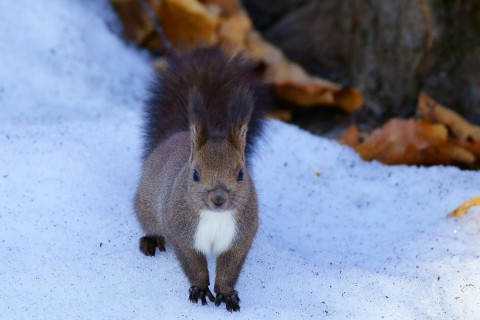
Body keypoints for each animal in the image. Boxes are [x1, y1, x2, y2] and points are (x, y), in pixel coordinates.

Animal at [135, 46, 268, 312]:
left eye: (241, 173)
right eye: (195, 173)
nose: (218, 198)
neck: (215, 217)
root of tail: (174, 137)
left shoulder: (240, 238)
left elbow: (229, 270)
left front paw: (226, 294)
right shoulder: (180, 232)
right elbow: (193, 265)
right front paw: (199, 289)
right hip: (147, 207)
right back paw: (151, 241)